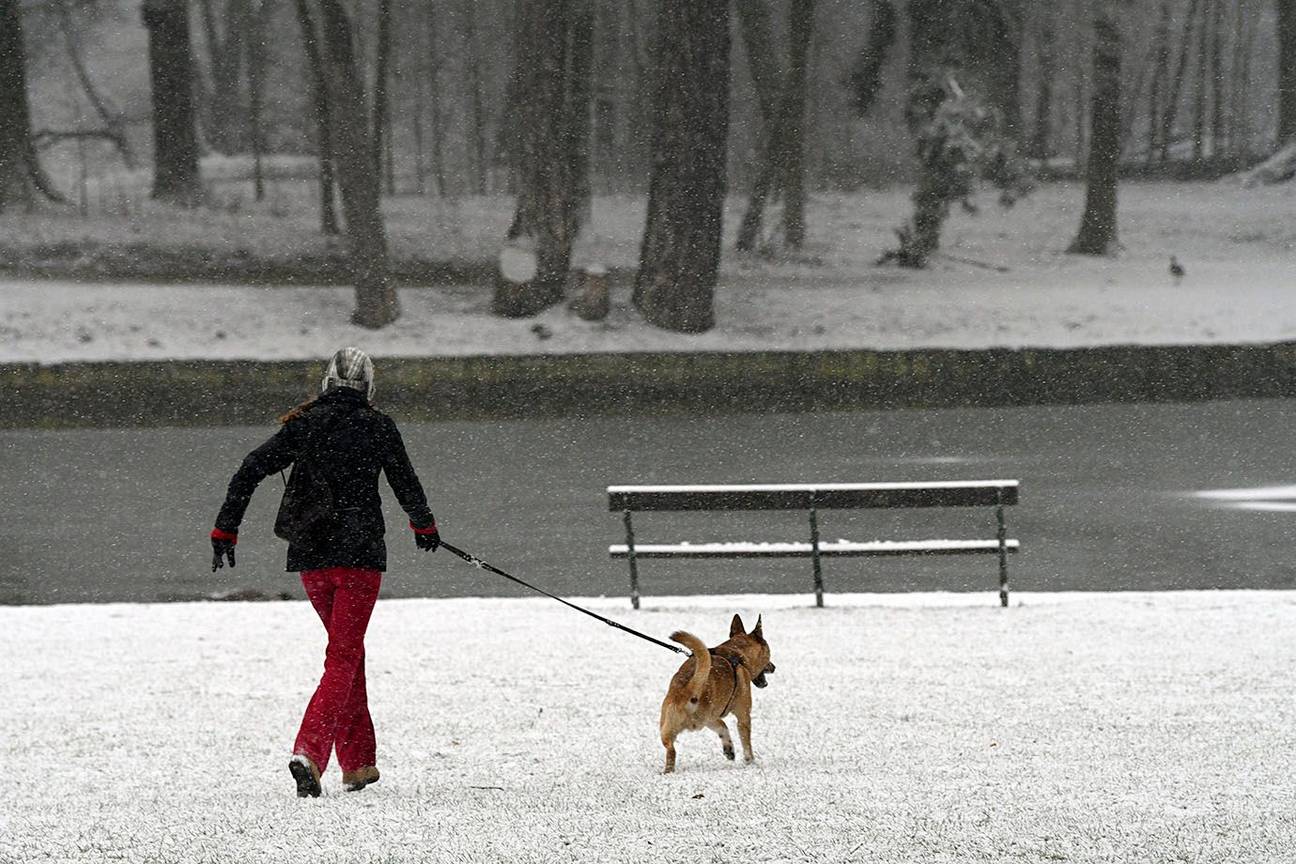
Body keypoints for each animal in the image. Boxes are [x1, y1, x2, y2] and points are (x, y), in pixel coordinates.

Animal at [663, 611, 772, 772]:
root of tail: (688, 689)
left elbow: (724, 727)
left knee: (671, 749)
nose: (774, 667)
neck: (738, 653)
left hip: (669, 728)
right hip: (705, 718)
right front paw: (750, 762)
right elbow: (746, 742)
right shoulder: (743, 716)